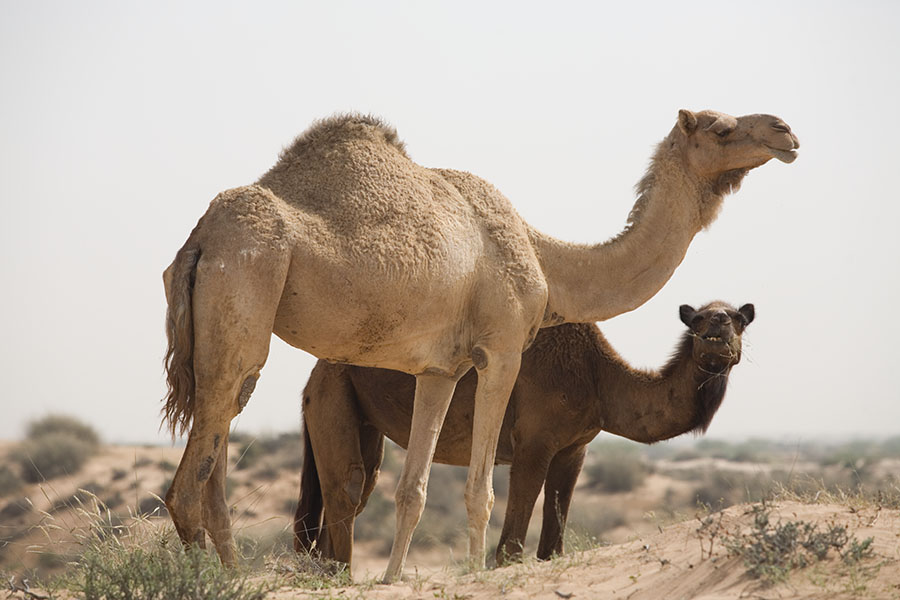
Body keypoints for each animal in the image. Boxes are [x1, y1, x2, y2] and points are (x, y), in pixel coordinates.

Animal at [296, 300, 752, 572]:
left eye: (740, 319)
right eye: (698, 319)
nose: (718, 325)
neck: (597, 378)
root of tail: (312, 376)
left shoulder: (575, 449)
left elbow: (554, 536)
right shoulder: (534, 442)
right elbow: (512, 541)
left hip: (358, 412)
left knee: (356, 489)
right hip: (333, 392)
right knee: (348, 487)